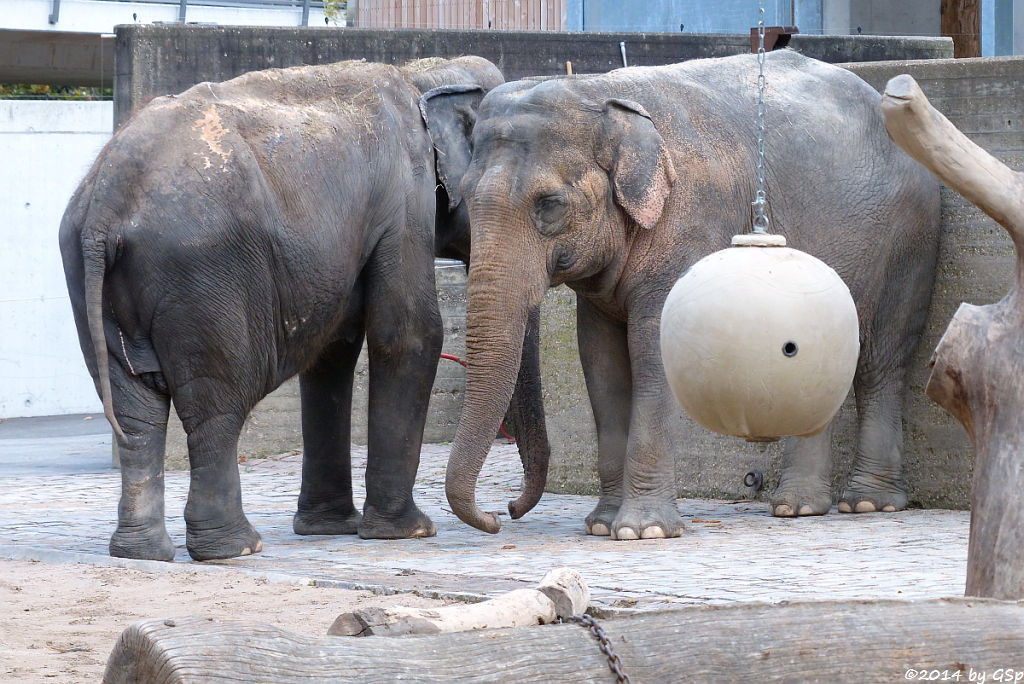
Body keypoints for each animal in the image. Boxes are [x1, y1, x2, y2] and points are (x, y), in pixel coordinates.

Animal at [58, 57, 552, 561]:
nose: (505, 512)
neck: (422, 74)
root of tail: (105, 203)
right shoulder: (404, 201)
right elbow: (411, 333)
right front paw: (408, 532)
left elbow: (332, 352)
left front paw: (327, 528)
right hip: (200, 280)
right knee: (214, 404)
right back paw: (236, 548)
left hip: (92, 279)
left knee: (135, 411)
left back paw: (142, 552)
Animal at [436, 52, 937, 540]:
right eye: (462, 196)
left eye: (549, 204)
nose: (502, 513)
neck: (599, 91)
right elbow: (601, 365)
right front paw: (601, 525)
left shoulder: (690, 225)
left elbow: (655, 355)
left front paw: (643, 531)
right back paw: (797, 508)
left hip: (907, 242)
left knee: (880, 361)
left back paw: (866, 503)